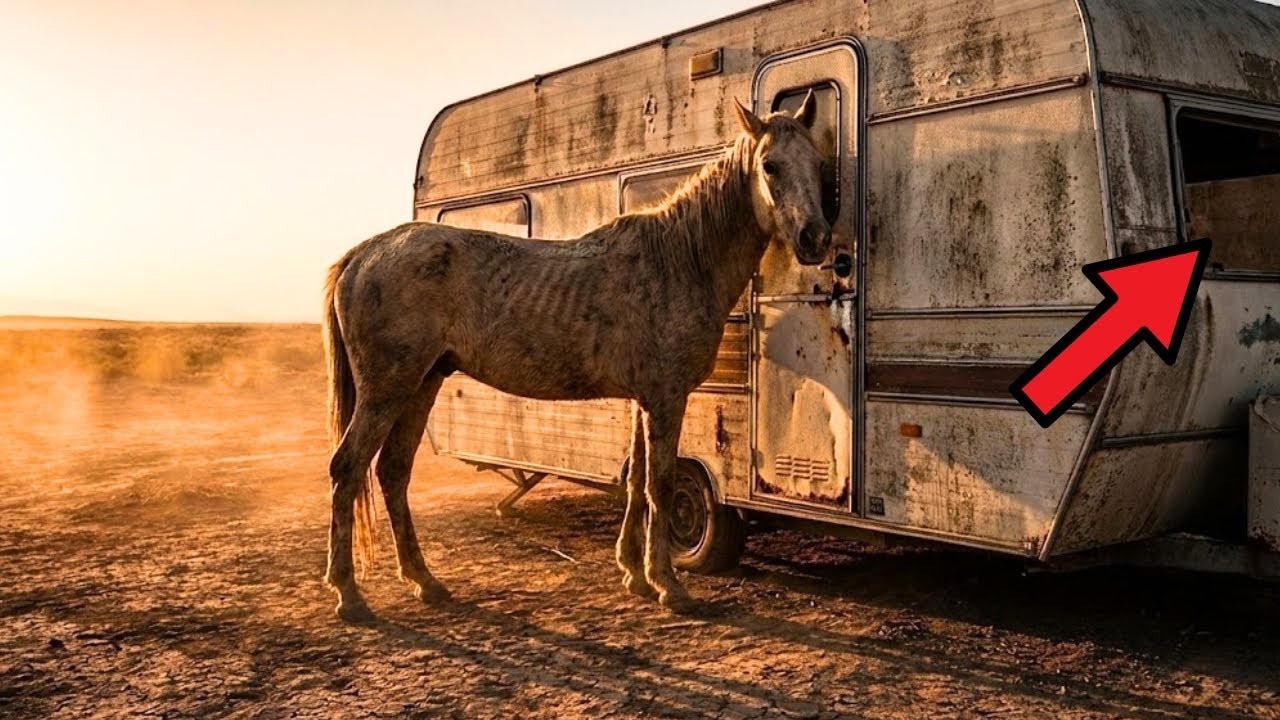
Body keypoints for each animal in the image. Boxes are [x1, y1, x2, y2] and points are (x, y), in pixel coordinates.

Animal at [321, 93, 831, 622]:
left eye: (818, 163)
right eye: (770, 166)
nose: (815, 237)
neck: (678, 260)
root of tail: (363, 253)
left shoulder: (643, 400)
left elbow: (637, 482)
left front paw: (635, 575)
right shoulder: (666, 398)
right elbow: (660, 485)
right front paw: (670, 586)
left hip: (423, 383)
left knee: (393, 471)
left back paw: (425, 581)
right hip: (387, 389)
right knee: (348, 468)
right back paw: (349, 593)